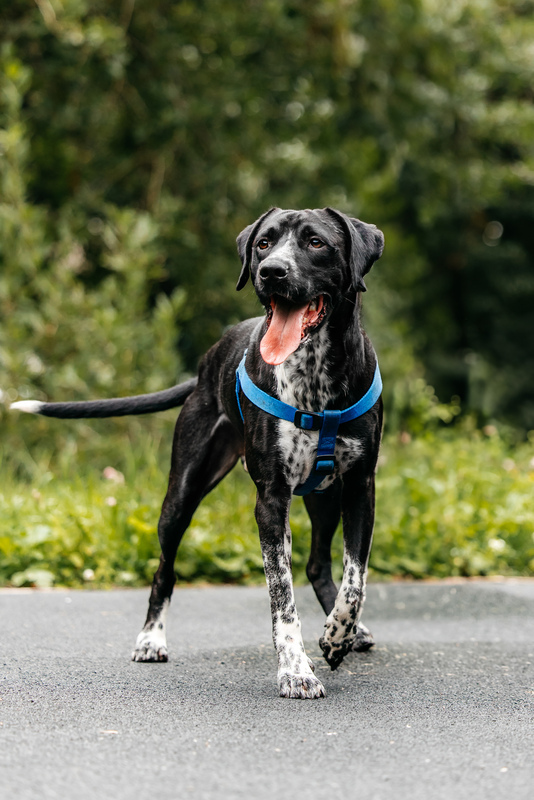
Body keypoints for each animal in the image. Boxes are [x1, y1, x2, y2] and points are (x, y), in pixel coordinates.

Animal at [12, 208, 386, 700]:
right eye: (263, 244)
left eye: (316, 242)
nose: (271, 272)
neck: (316, 379)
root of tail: (206, 364)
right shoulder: (270, 501)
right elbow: (281, 598)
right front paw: (295, 670)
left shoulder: (360, 488)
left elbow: (354, 581)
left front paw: (337, 635)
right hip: (182, 495)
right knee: (165, 571)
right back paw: (150, 639)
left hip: (324, 498)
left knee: (317, 564)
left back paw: (342, 632)